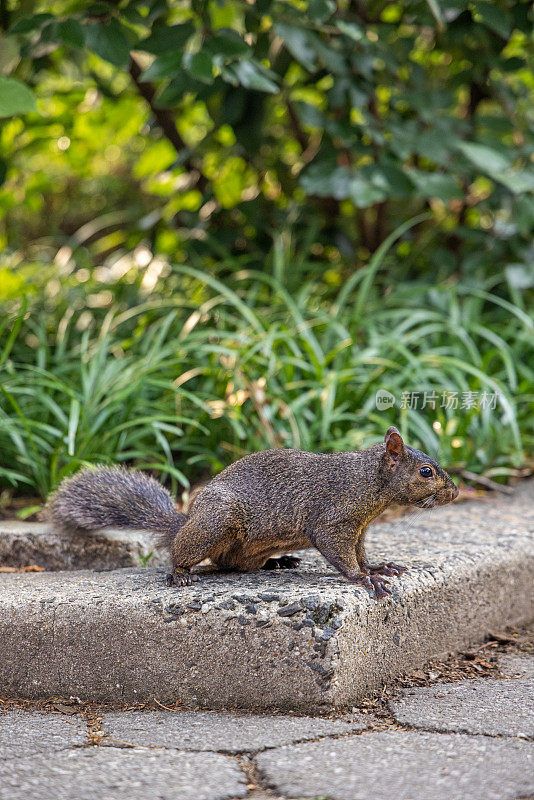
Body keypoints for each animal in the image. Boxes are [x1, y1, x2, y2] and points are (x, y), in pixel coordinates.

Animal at [44, 428, 458, 596]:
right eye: (426, 472)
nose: (454, 492)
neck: (369, 484)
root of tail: (186, 520)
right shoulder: (335, 517)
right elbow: (338, 551)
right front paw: (363, 579)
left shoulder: (360, 528)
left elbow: (360, 552)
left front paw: (378, 567)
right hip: (215, 523)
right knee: (187, 553)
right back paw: (180, 573)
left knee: (233, 564)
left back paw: (279, 562)